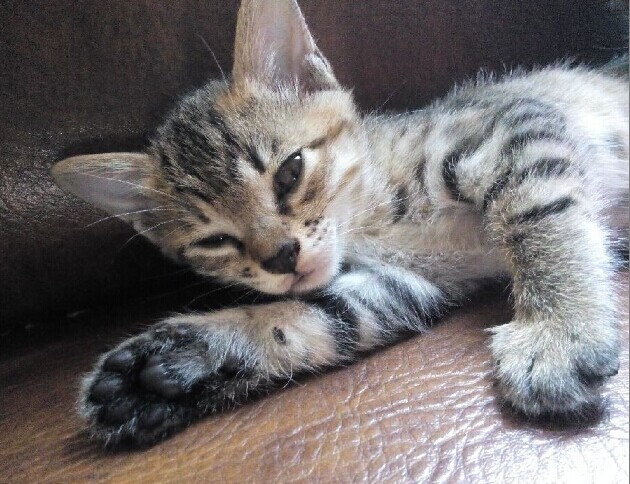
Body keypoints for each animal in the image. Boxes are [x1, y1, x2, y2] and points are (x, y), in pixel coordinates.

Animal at [52, 0, 629, 448]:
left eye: (290, 172)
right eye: (215, 239)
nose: (280, 255)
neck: (370, 219)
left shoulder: (509, 128)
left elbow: (542, 220)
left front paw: (559, 331)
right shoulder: (405, 284)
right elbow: (313, 317)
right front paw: (172, 365)